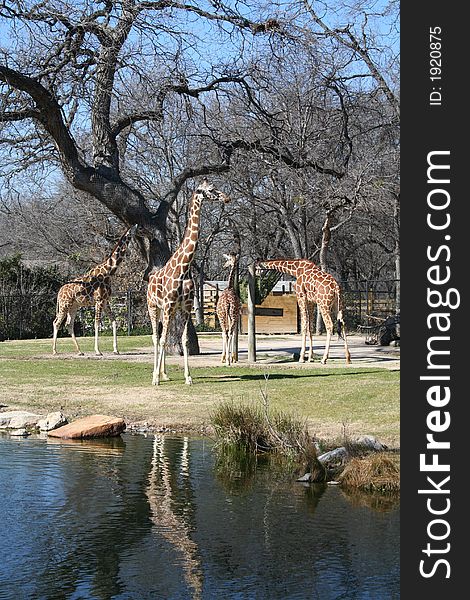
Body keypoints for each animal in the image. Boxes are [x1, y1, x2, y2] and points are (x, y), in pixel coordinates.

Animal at [52, 225, 136, 356]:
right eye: (137, 228)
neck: (109, 271)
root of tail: (59, 292)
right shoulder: (99, 300)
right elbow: (96, 323)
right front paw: (97, 350)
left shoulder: (106, 301)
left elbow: (113, 321)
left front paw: (116, 350)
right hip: (64, 305)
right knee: (56, 322)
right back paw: (55, 351)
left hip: (73, 306)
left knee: (69, 324)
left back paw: (79, 351)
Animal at [146, 178, 229, 384]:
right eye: (211, 189)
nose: (226, 198)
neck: (183, 269)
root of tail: (149, 282)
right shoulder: (168, 305)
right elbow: (163, 339)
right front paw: (156, 378)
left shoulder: (185, 306)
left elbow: (183, 340)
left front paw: (188, 377)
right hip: (153, 306)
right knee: (156, 337)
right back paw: (155, 374)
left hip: (165, 310)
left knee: (163, 334)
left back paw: (164, 373)